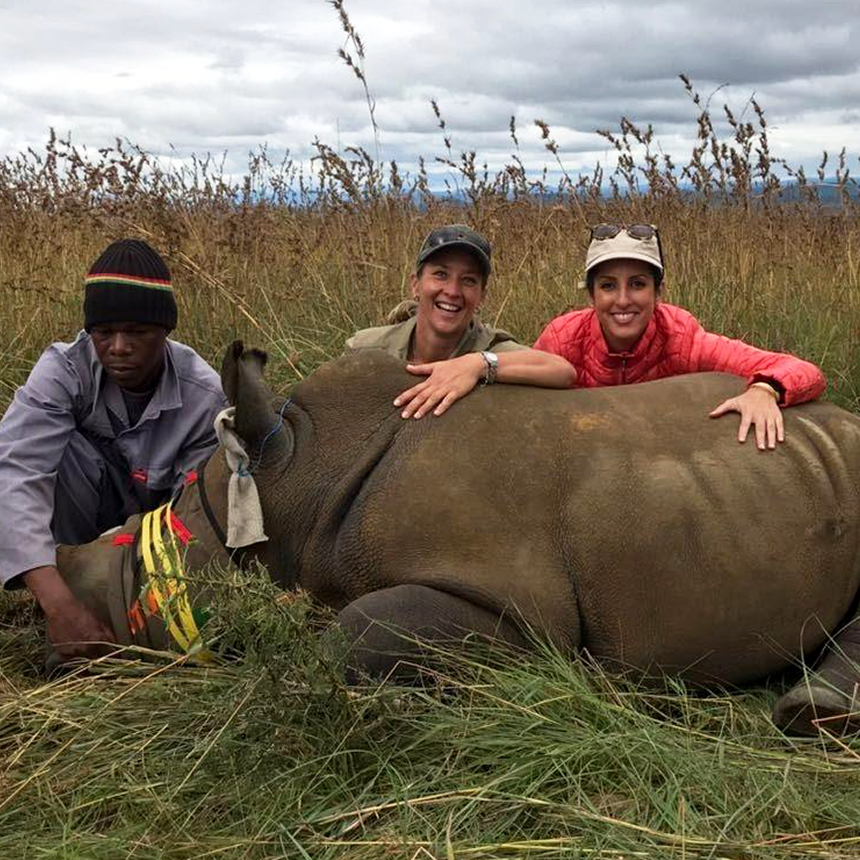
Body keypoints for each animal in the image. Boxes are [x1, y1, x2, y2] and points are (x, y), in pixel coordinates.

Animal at [55, 343, 860, 736]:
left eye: (177, 535)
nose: (65, 574)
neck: (302, 472)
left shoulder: (514, 611)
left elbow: (348, 635)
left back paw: (812, 717)